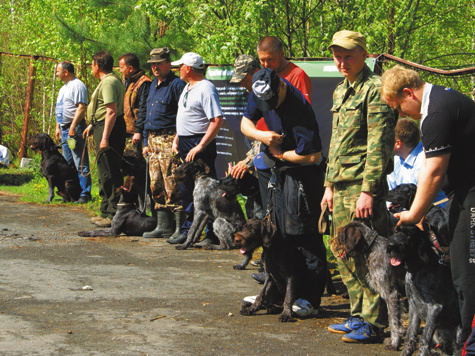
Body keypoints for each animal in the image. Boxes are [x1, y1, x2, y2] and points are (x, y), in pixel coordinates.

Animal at [336, 221, 408, 350]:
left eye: (340, 236)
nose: (331, 243)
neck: (372, 248)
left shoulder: (391, 295)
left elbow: (393, 321)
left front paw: (394, 343)